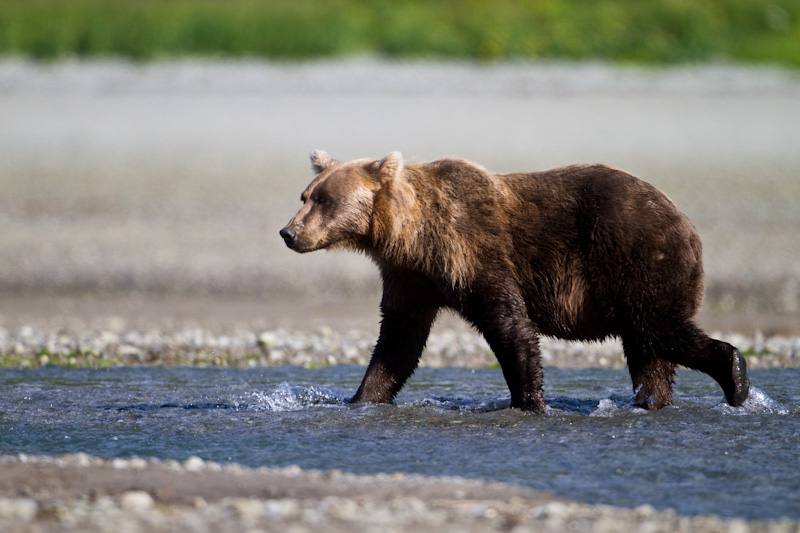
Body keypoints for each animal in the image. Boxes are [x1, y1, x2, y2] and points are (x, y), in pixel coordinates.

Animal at [282, 150, 752, 412]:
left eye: (323, 199)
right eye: (305, 195)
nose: (289, 232)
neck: (412, 235)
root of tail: (684, 220)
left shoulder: (472, 248)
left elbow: (509, 325)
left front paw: (529, 403)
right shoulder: (412, 278)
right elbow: (398, 343)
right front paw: (360, 398)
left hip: (636, 256)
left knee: (655, 325)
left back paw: (734, 374)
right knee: (648, 351)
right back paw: (651, 401)